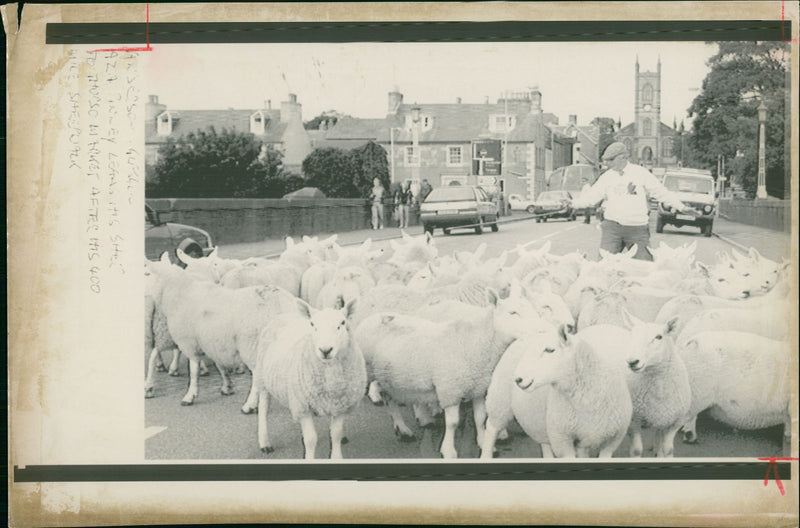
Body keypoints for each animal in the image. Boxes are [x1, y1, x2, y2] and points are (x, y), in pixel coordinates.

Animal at [253, 296, 366, 458]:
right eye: (312, 324)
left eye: (342, 323)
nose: (325, 350)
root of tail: (286, 314)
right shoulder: (303, 406)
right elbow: (311, 439)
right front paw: (309, 457)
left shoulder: (340, 405)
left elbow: (336, 434)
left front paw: (336, 456)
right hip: (263, 378)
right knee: (263, 408)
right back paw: (265, 442)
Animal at [354, 288, 536, 458]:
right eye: (513, 312)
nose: (539, 330)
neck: (475, 341)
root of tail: (373, 318)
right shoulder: (450, 389)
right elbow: (453, 423)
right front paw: (448, 451)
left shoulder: (478, 387)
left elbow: (480, 418)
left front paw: (483, 442)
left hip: (390, 377)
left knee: (390, 398)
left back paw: (403, 429)